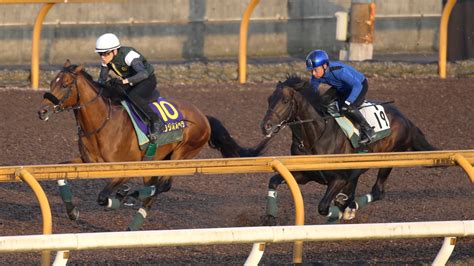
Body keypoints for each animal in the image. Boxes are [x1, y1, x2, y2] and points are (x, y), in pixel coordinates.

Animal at [37, 60, 268, 231]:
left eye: (65, 85)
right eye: (51, 82)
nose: (42, 111)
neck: (102, 123)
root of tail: (203, 116)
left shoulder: (125, 169)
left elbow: (103, 197)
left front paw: (116, 198)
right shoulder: (86, 162)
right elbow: (60, 174)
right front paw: (72, 212)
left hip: (182, 154)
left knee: (162, 186)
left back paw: (127, 199)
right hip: (156, 161)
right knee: (153, 189)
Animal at [260, 75, 436, 224]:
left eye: (284, 100)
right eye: (268, 99)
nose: (265, 126)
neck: (316, 136)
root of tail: (406, 120)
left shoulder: (339, 179)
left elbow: (323, 207)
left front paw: (338, 210)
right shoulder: (305, 175)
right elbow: (273, 181)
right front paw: (270, 217)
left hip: (388, 159)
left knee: (378, 191)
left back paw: (350, 207)